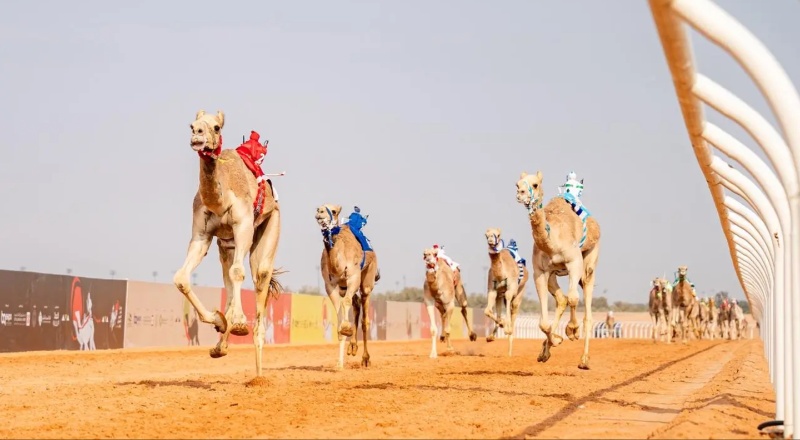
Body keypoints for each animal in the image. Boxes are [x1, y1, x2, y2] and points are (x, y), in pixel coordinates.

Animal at [173, 110, 283, 379]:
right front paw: (219, 320)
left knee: (258, 276)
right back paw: (223, 340)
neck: (220, 201)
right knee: (228, 276)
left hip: (271, 224)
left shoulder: (243, 225)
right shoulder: (202, 235)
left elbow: (238, 273)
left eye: (216, 127)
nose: (197, 136)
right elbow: (181, 278)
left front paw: (236, 324)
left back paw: (259, 374)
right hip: (226, 245)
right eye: (192, 125)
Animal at [316, 204, 380, 369]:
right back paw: (352, 347)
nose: (320, 212)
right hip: (344, 287)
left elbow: (345, 304)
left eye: (334, 211)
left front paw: (346, 328)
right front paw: (339, 364)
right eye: (318, 208)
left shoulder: (353, 277)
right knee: (355, 304)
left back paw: (365, 359)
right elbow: (339, 309)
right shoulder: (330, 284)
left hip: (367, 280)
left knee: (364, 317)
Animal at [515, 171, 601, 370]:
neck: (552, 242)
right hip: (553, 275)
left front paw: (572, 331)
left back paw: (584, 359)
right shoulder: (540, 272)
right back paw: (546, 350)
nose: (521, 193)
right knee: (561, 299)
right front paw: (555, 341)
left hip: (590, 261)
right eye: (517, 184)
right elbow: (543, 323)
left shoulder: (574, 262)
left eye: (535, 184)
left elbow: (574, 298)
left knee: (584, 304)